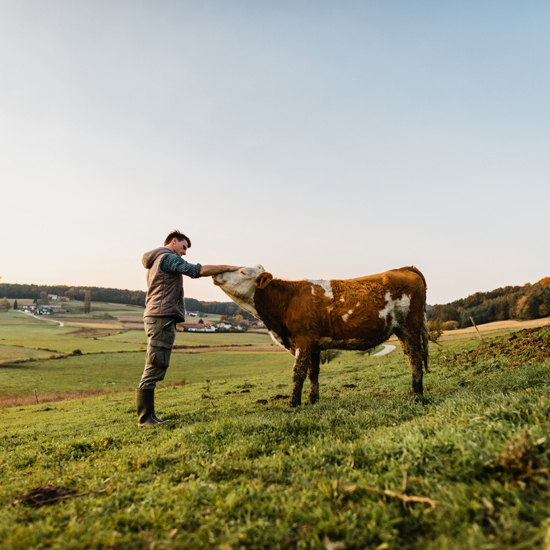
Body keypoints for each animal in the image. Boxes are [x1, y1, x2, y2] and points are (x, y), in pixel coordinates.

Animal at [215, 268, 432, 410]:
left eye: (242, 272)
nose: (216, 275)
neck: (287, 300)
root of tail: (404, 269)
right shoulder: (314, 344)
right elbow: (313, 373)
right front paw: (313, 399)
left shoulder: (303, 340)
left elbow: (298, 373)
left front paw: (293, 404)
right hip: (401, 331)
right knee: (411, 357)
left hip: (409, 327)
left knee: (415, 358)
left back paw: (416, 393)